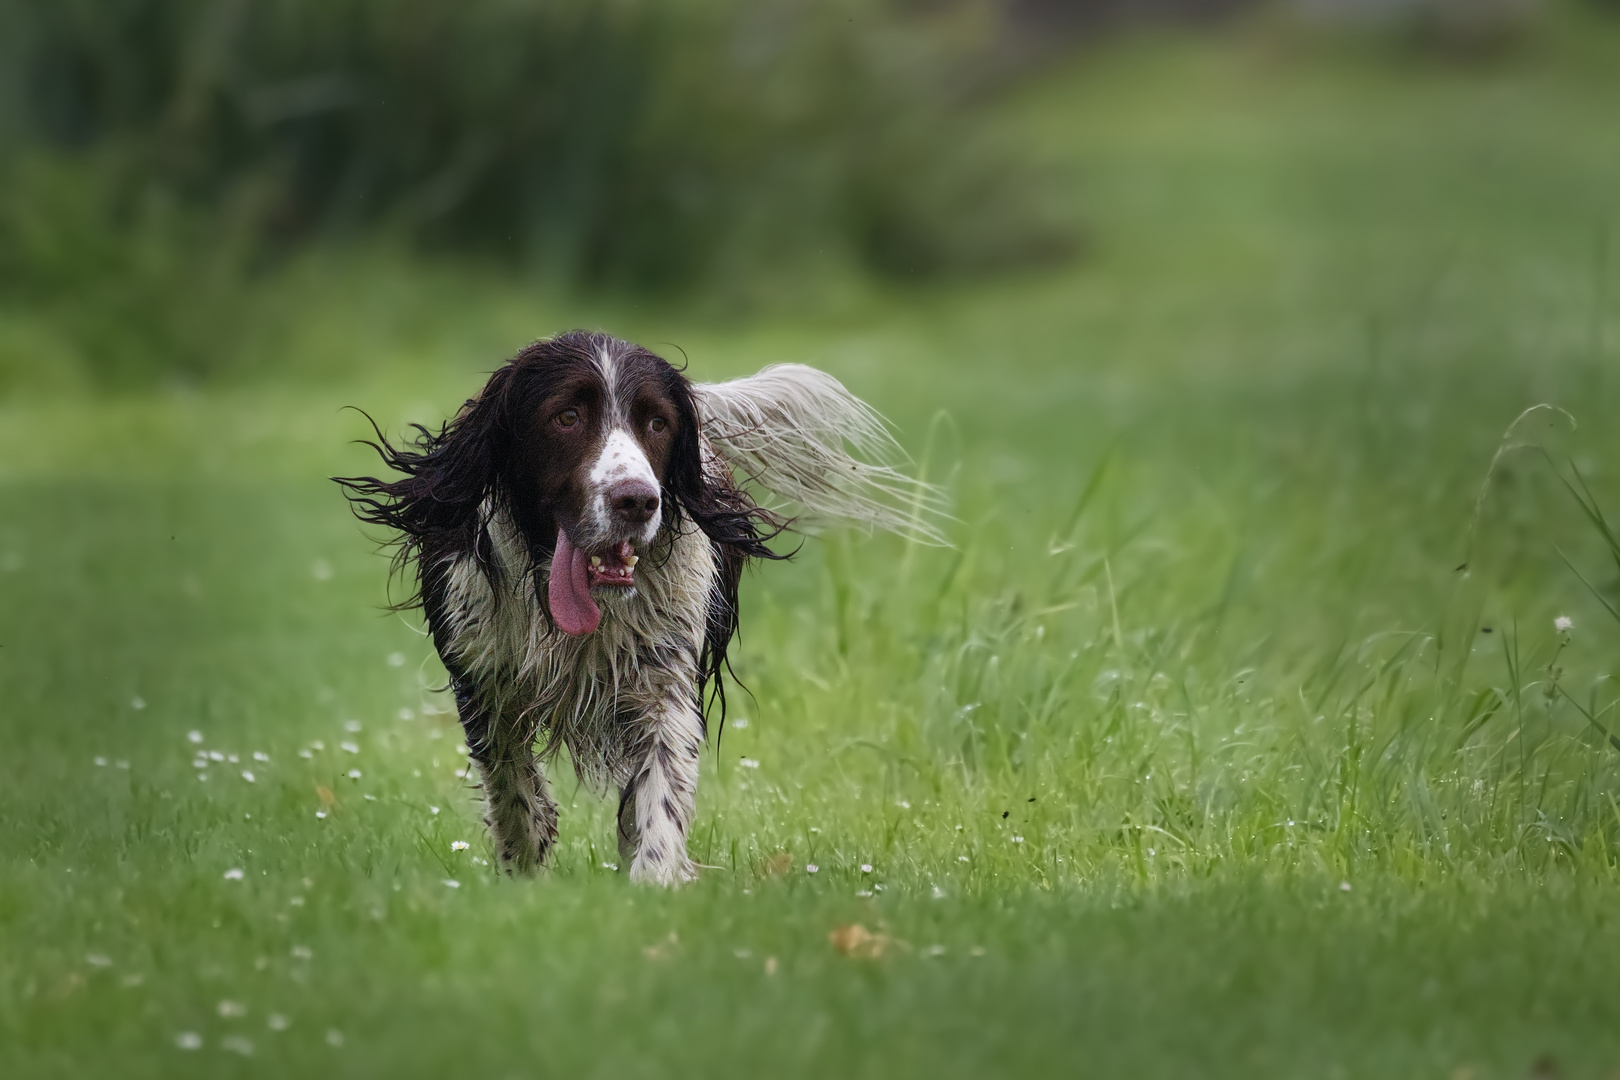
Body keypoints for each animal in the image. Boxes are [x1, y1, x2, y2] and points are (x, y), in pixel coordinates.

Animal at [341, 331, 946, 887]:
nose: (637, 499)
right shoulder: (482, 674)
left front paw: (653, 880)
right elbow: (512, 782)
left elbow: (660, 787)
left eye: (657, 423)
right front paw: (525, 859)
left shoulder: (664, 681)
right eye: (566, 416)